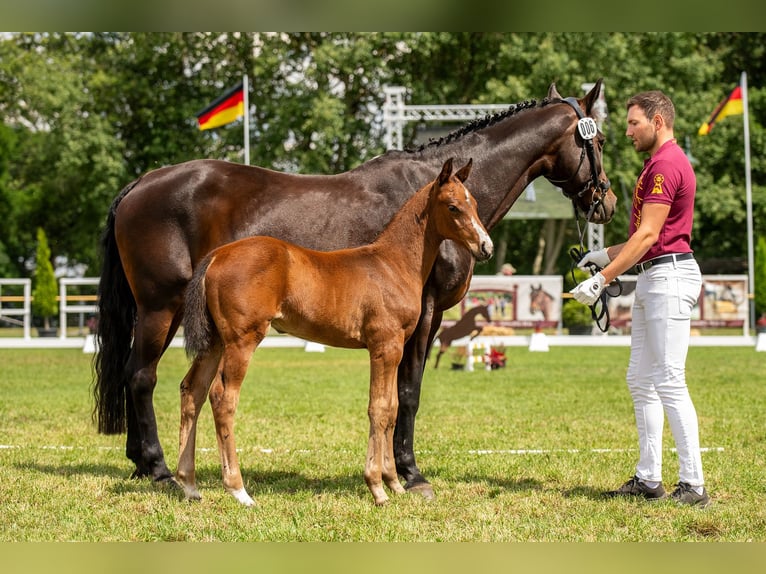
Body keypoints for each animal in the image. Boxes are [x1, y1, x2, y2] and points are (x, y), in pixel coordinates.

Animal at [178, 159, 492, 508]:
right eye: (453, 206)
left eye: (475, 204)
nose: (486, 247)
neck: (392, 264)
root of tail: (217, 256)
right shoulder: (384, 346)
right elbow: (379, 408)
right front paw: (377, 488)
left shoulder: (395, 348)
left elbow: (392, 407)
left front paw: (395, 484)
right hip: (241, 340)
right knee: (223, 397)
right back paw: (238, 490)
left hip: (215, 341)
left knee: (192, 390)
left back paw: (189, 485)